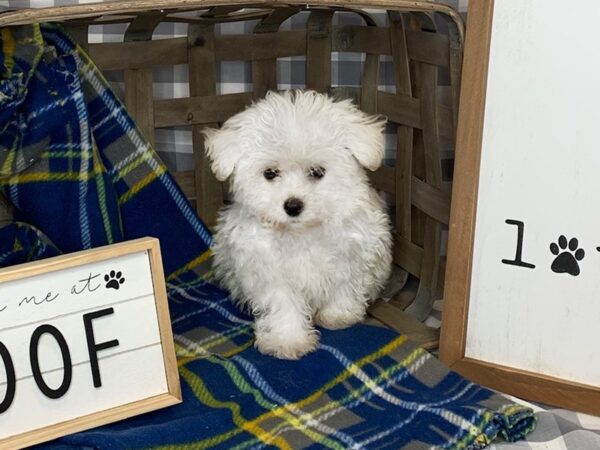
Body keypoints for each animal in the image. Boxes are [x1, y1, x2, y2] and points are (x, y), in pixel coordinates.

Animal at [205, 90, 394, 358]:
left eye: (317, 172)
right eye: (270, 173)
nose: (293, 206)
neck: (302, 231)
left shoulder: (354, 254)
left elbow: (344, 287)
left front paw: (338, 316)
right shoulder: (269, 270)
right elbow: (283, 303)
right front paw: (288, 340)